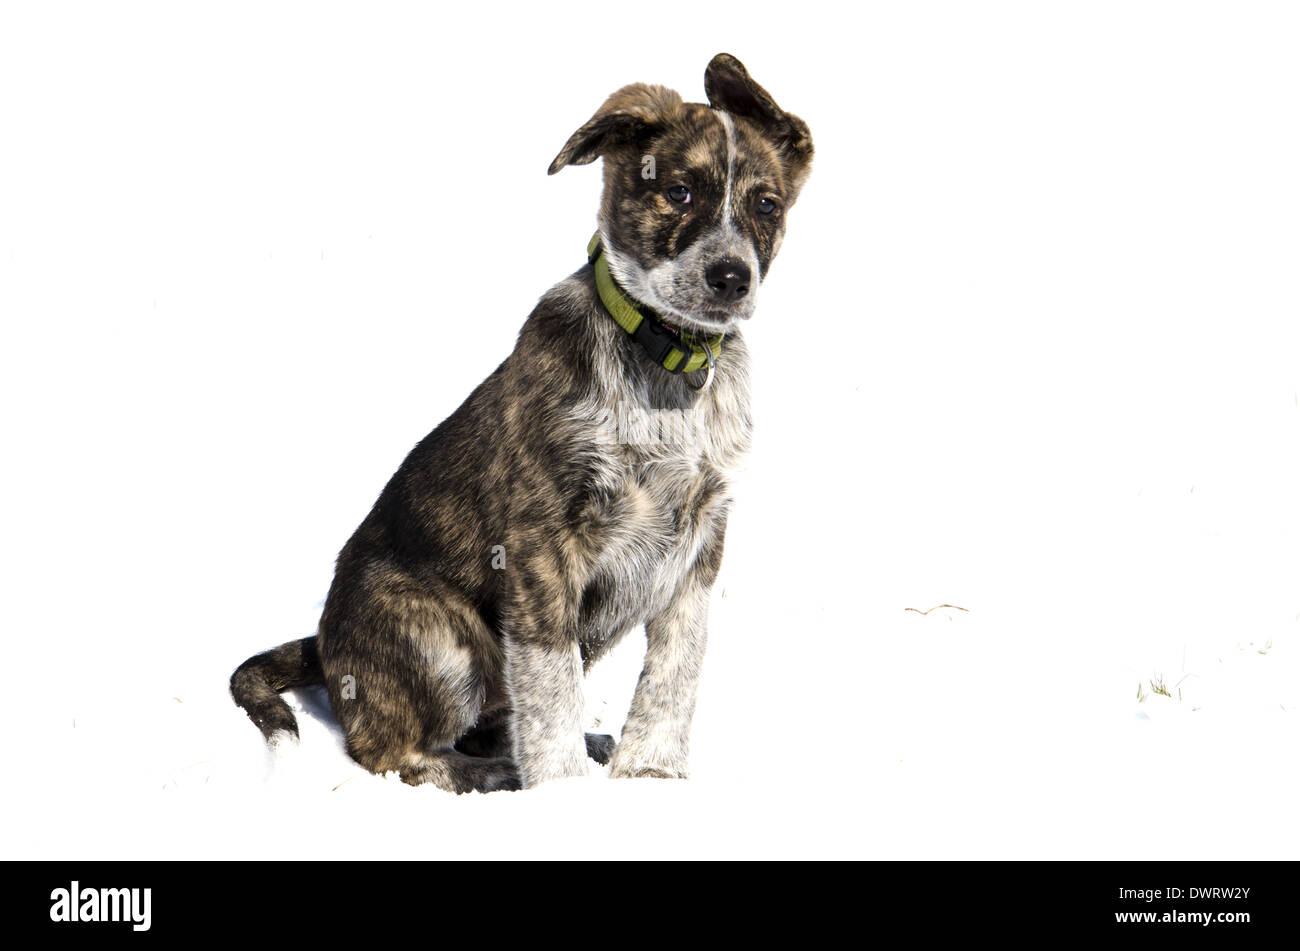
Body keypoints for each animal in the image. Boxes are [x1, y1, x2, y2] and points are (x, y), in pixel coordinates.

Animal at [228, 53, 806, 795]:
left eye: (767, 206)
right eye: (678, 193)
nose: (731, 277)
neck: (666, 365)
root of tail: (325, 647)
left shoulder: (699, 545)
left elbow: (676, 670)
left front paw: (650, 772)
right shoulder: (541, 542)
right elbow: (550, 681)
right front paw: (561, 789)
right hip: (438, 636)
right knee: (387, 750)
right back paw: (491, 774)